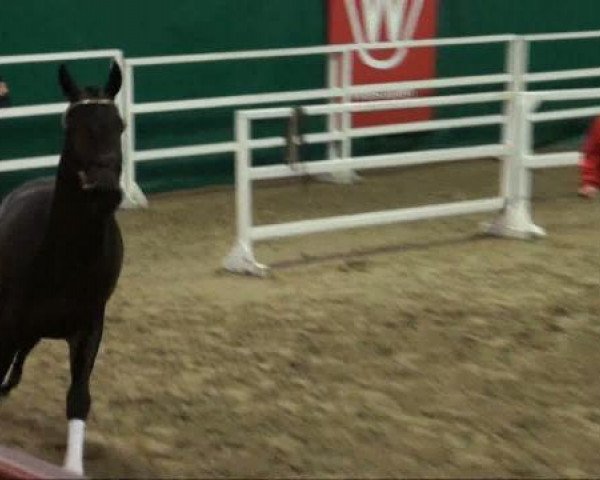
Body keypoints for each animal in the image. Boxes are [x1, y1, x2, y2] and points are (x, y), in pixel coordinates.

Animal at [0, 62, 124, 474]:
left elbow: (78, 397)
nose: (104, 188)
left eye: (120, 125)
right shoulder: (7, 322)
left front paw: (72, 467)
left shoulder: (89, 328)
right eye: (72, 125)